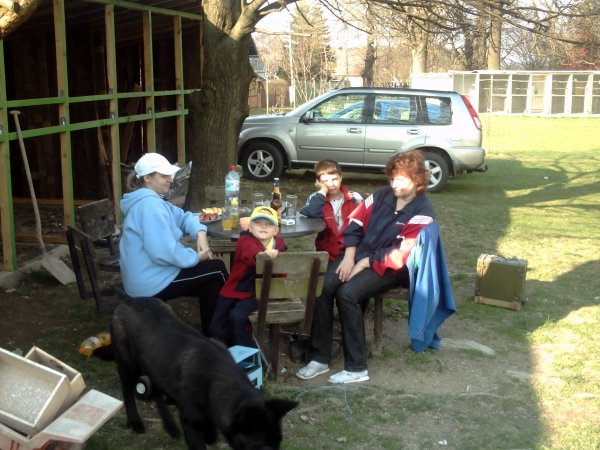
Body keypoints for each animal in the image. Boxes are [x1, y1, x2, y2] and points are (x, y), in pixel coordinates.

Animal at [111, 297, 297, 450]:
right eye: (262, 447)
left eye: (279, 443)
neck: (217, 377)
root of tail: (127, 301)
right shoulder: (190, 424)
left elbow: (211, 432)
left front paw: (209, 434)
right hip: (129, 365)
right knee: (127, 390)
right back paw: (134, 421)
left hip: (154, 364)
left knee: (157, 390)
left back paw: (170, 425)